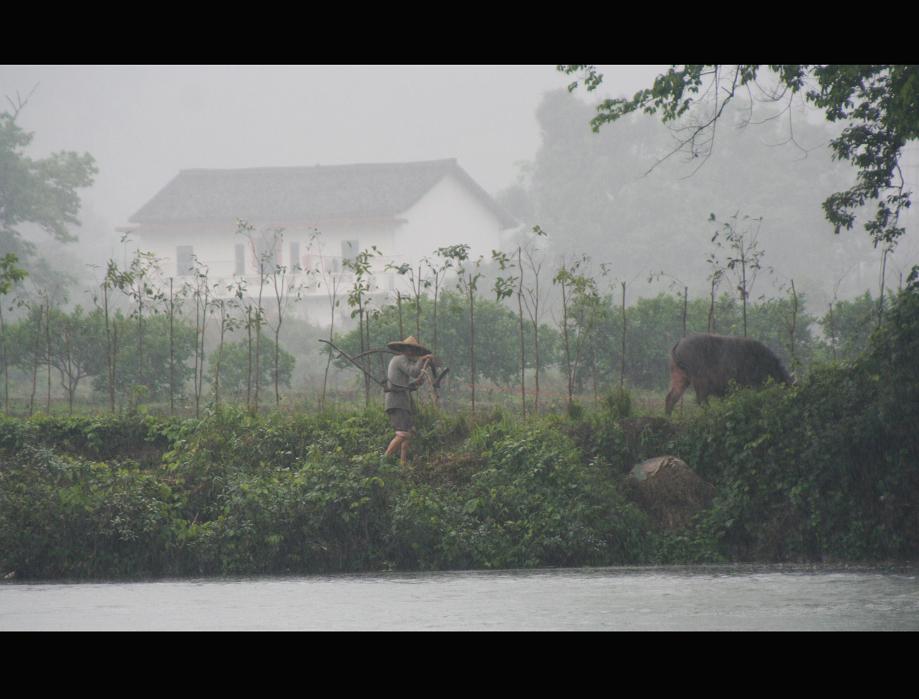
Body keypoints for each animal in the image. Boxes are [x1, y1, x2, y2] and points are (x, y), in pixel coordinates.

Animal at [664, 334, 796, 416]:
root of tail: (678, 344)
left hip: (681, 378)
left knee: (671, 397)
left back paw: (668, 417)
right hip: (700, 380)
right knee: (701, 400)